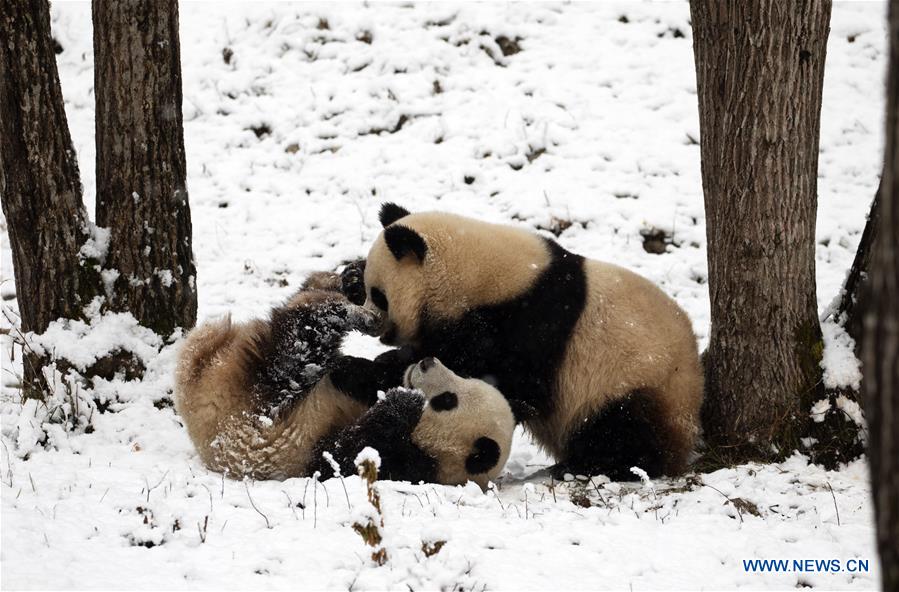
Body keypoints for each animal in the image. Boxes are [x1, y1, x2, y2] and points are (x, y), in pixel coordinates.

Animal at [174, 270, 512, 488]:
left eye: (447, 400)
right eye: (462, 378)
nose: (427, 363)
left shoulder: (397, 463)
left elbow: (345, 455)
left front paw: (405, 401)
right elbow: (361, 376)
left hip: (252, 409)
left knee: (298, 345)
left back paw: (346, 311)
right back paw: (347, 282)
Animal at [362, 204, 708, 480]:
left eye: (378, 295)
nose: (372, 325)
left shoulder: (532, 323)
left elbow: (499, 373)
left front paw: (393, 365)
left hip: (637, 382)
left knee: (623, 427)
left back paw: (588, 466)